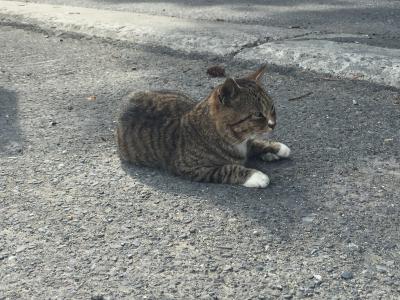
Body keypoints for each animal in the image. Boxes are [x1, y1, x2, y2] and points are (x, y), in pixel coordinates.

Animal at [116, 65, 290, 188]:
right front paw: (255, 175)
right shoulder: (190, 168)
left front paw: (276, 147)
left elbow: (255, 143)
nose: (273, 124)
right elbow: (228, 169)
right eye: (258, 114)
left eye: (272, 108)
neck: (236, 139)